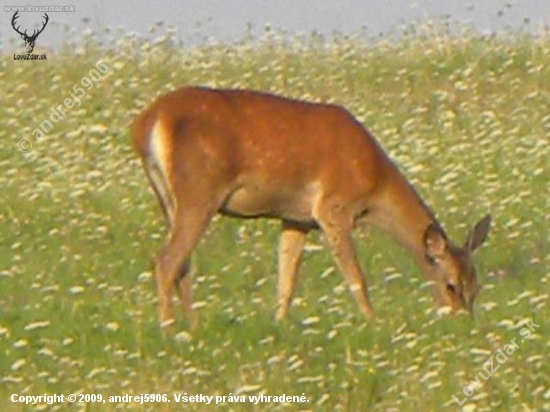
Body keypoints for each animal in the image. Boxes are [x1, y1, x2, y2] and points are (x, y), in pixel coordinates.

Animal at [133, 87, 492, 328]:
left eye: (477, 285)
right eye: (450, 285)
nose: (463, 321)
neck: (375, 187)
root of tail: (149, 122)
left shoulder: (296, 218)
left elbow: (287, 280)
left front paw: (279, 323)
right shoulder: (333, 207)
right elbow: (356, 277)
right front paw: (373, 321)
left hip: (168, 198)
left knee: (182, 264)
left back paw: (193, 327)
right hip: (199, 191)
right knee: (167, 260)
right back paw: (170, 330)